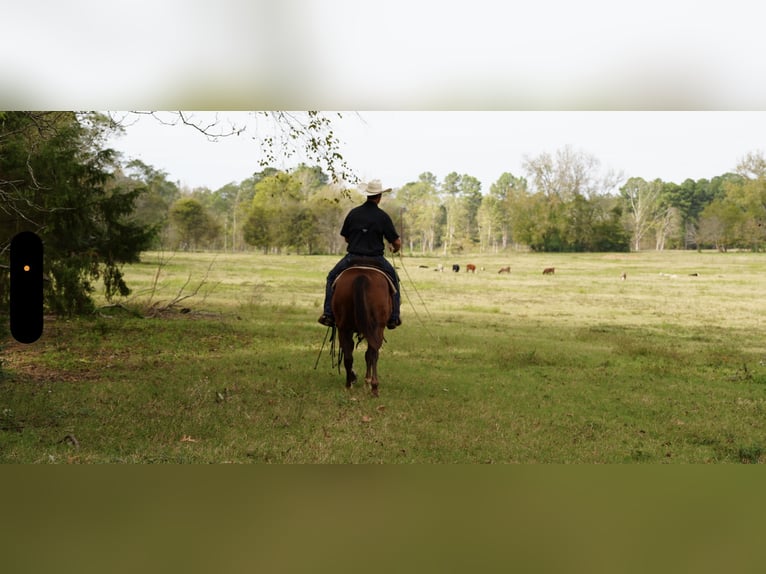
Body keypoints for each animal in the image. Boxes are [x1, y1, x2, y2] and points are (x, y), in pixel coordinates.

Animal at [330, 264, 392, 396]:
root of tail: (361, 276)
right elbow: (369, 355)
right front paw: (367, 382)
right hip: (377, 328)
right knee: (373, 354)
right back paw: (374, 386)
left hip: (344, 327)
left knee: (348, 355)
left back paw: (349, 385)